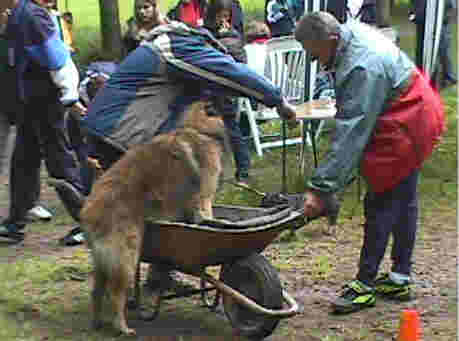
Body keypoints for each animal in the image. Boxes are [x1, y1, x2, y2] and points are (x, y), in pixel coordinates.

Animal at [81, 101, 232, 334]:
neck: (196, 128)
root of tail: (89, 209)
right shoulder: (204, 193)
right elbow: (204, 215)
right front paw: (216, 223)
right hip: (127, 255)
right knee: (116, 294)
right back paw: (122, 327)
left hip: (103, 261)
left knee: (97, 291)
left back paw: (98, 322)